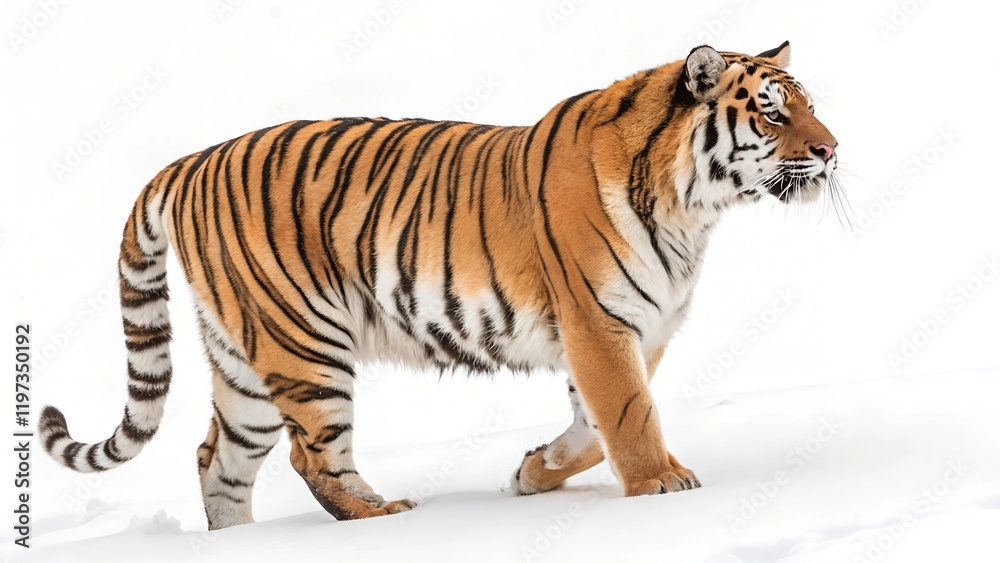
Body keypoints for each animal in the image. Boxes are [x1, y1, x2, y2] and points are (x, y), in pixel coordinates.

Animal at [39, 41, 838, 530]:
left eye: (808, 104)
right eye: (772, 111)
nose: (832, 149)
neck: (692, 209)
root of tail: (190, 160)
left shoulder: (639, 329)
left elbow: (593, 427)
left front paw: (535, 470)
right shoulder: (599, 323)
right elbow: (630, 415)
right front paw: (663, 487)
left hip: (245, 364)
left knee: (219, 460)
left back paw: (240, 542)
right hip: (304, 343)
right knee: (311, 455)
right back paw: (383, 515)